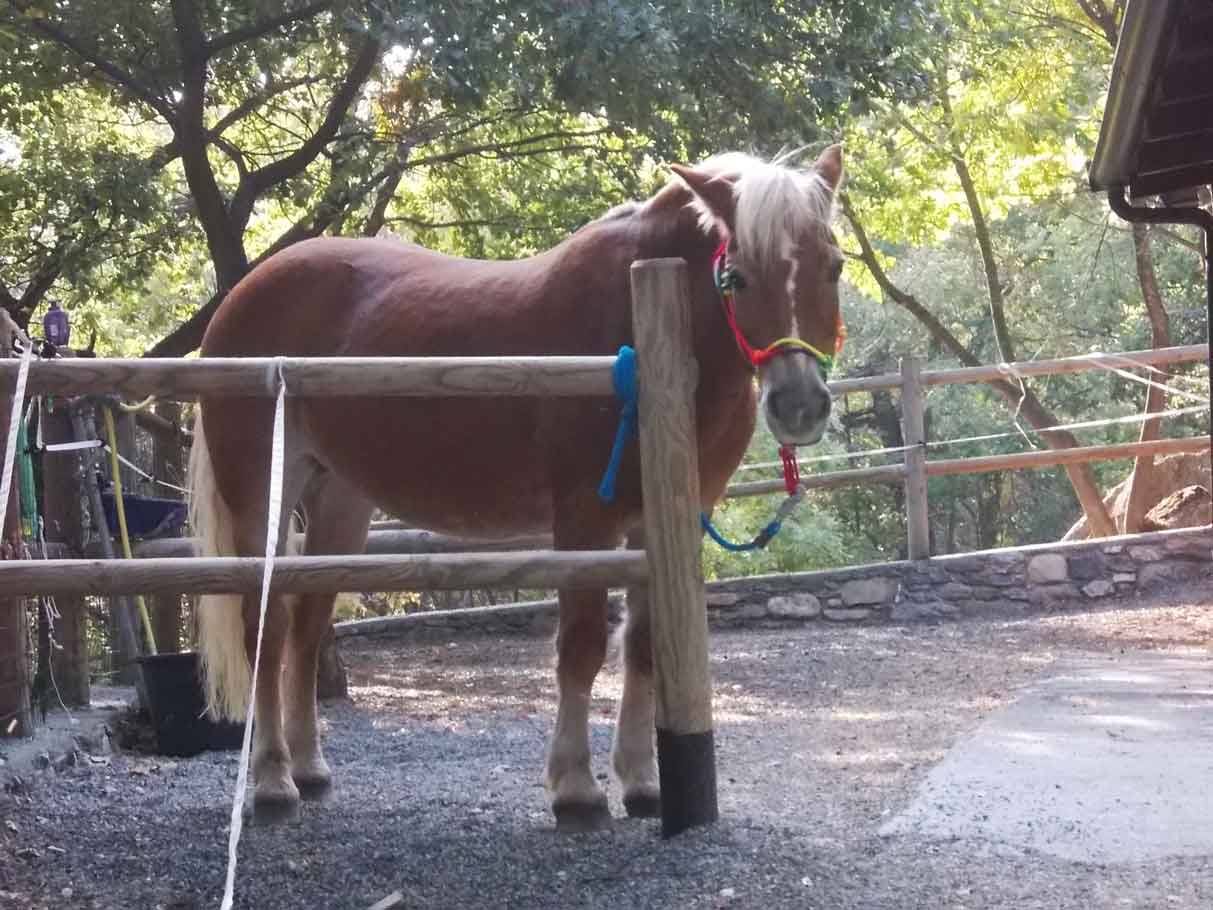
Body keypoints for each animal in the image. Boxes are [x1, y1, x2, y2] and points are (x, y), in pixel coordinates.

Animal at [187, 145, 846, 831]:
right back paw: (272, 781)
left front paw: (642, 782)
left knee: (308, 627)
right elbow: (581, 646)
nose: (800, 405)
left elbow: (641, 648)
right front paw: (576, 788)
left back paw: (310, 769)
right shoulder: (585, 519)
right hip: (263, 496)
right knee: (265, 630)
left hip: (340, 502)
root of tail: (240, 296)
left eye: (835, 266)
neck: (645, 325)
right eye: (736, 277)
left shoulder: (664, 519)